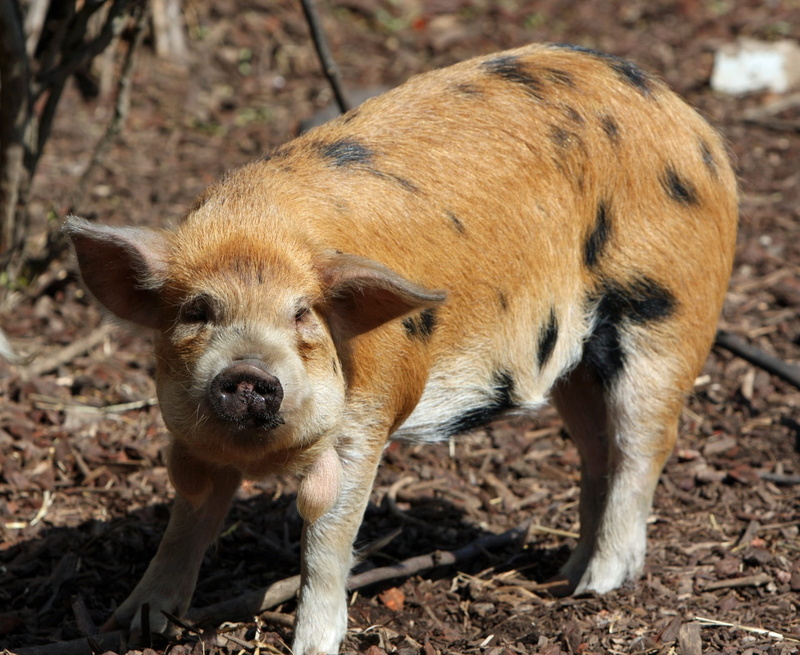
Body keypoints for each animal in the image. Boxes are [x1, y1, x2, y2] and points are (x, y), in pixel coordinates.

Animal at [65, 43, 738, 655]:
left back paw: (598, 586)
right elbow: (189, 518)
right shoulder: (195, 440)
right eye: (197, 312)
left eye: (302, 314)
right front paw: (134, 624)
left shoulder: (368, 417)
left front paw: (312, 646)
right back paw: (563, 578)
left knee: (643, 447)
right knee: (598, 453)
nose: (250, 371)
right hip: (576, 367)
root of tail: (695, 126)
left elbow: (329, 537)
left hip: (667, 316)